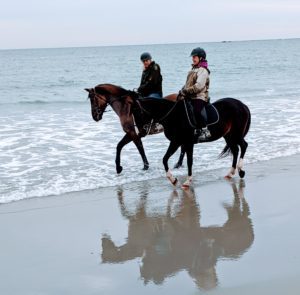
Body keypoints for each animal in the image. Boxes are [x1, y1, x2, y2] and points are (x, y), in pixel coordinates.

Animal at [85, 84, 251, 188]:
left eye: (93, 99)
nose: (95, 116)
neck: (173, 115)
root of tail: (242, 105)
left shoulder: (183, 141)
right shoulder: (176, 141)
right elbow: (164, 158)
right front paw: (173, 179)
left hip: (235, 134)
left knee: (243, 146)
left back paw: (240, 170)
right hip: (228, 135)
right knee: (236, 149)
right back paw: (231, 173)